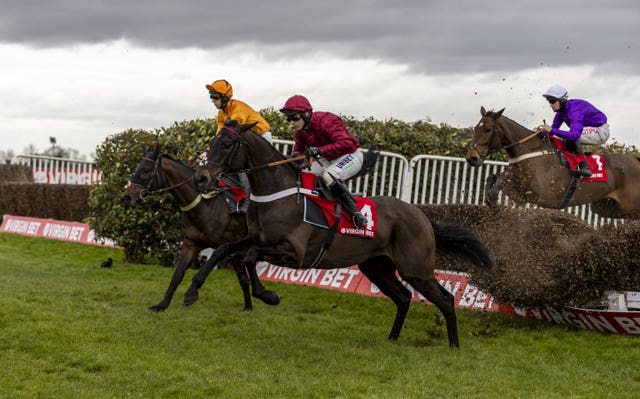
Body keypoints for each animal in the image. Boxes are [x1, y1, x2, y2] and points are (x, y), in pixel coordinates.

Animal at [120, 146, 280, 312]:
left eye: (145, 170)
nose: (126, 197)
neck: (205, 205)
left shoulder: (231, 245)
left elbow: (242, 277)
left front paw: (249, 306)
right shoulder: (191, 244)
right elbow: (176, 276)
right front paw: (161, 305)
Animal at [192, 121, 492, 346]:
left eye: (227, 144)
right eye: (212, 141)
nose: (201, 178)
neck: (278, 193)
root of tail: (422, 216)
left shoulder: (294, 253)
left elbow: (250, 257)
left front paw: (269, 296)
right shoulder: (254, 238)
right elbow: (225, 250)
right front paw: (192, 291)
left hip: (416, 270)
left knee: (446, 299)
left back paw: (454, 345)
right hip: (377, 267)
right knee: (404, 297)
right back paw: (392, 339)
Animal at [464, 106, 640, 219]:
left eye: (487, 129)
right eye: (476, 128)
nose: (471, 157)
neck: (530, 151)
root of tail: (636, 161)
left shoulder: (539, 193)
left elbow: (503, 180)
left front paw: (493, 198)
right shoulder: (520, 190)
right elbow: (494, 177)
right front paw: (491, 199)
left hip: (630, 206)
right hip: (606, 207)